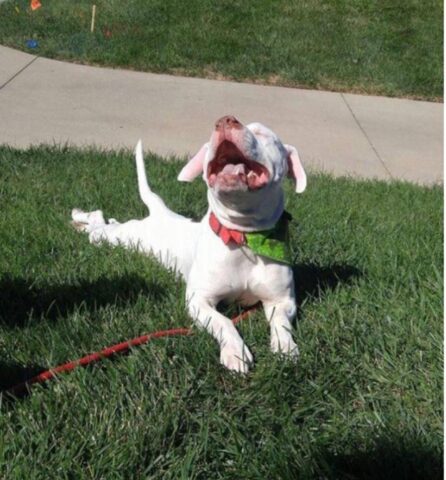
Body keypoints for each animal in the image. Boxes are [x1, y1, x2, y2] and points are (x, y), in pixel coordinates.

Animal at [71, 117, 306, 376]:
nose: (226, 120)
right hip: (117, 237)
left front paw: (286, 348)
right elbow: (223, 321)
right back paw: (79, 217)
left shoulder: (282, 301)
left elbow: (281, 323)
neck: (243, 237)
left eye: (262, 133)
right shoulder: (199, 300)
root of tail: (161, 213)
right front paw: (235, 351)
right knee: (97, 223)